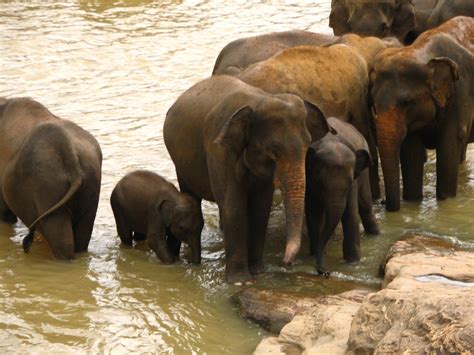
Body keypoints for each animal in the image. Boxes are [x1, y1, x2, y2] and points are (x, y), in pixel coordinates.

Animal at [163, 76, 334, 286]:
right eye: (273, 150)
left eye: (308, 144)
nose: (286, 263)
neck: (259, 101)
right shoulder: (219, 149)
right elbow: (234, 205)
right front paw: (240, 282)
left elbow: (261, 206)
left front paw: (259, 273)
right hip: (180, 163)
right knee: (191, 196)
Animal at [306, 118, 380, 276]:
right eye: (320, 184)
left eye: (349, 184)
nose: (324, 272)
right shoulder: (308, 180)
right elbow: (313, 213)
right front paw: (314, 254)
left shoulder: (353, 183)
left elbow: (350, 214)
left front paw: (353, 263)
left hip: (364, 174)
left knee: (365, 205)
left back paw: (376, 235)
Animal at [372, 16, 472, 211]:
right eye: (373, 106)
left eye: (407, 102)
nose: (383, 201)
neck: (419, 52)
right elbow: (411, 151)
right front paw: (411, 201)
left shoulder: (460, 92)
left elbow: (449, 142)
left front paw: (446, 200)